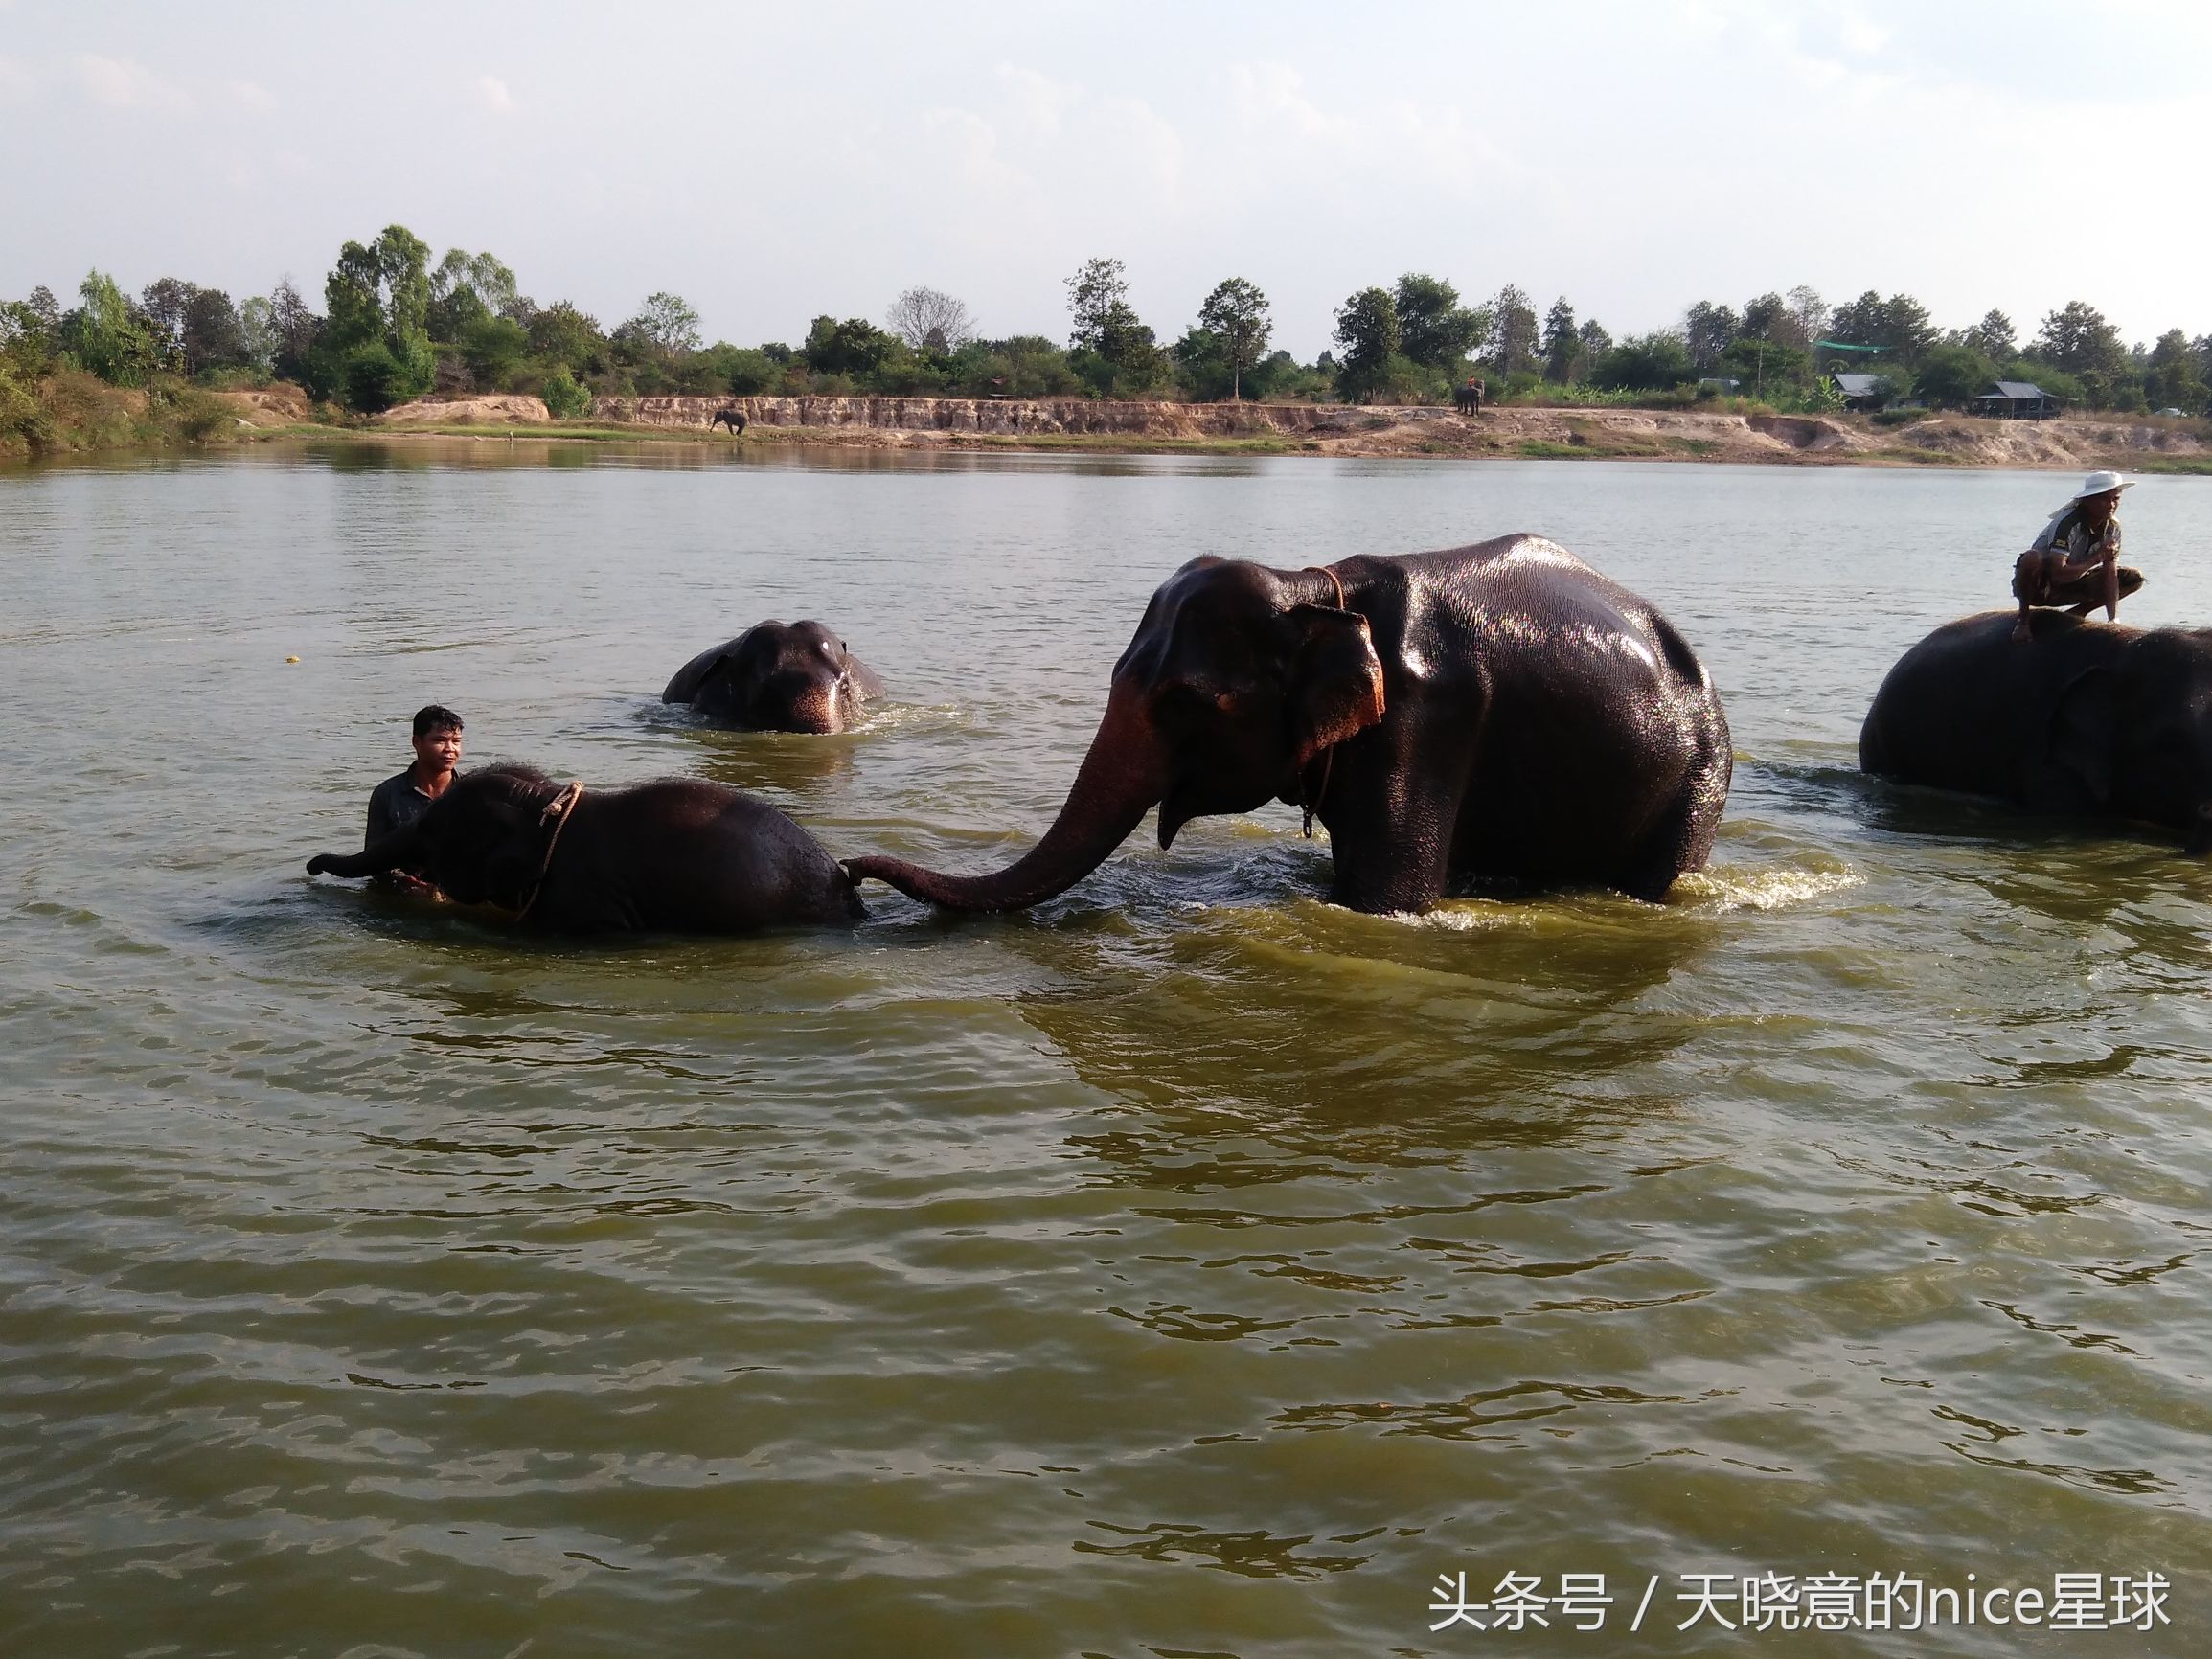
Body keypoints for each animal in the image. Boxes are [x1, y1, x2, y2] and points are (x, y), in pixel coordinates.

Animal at [845, 535, 1732, 915]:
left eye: (1181, 702)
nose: (850, 868)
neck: (1313, 585)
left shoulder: (1425, 722)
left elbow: (1388, 897)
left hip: (1700, 776)